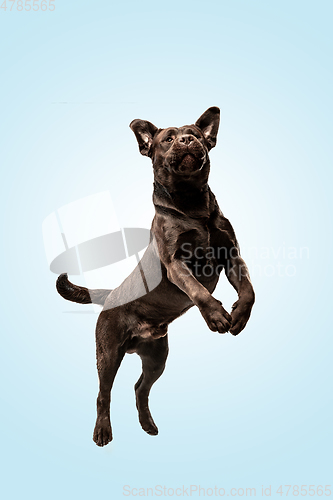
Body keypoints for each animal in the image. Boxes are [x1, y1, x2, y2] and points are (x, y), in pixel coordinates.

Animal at [57, 107, 254, 448]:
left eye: (196, 134)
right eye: (168, 139)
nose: (188, 139)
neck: (191, 205)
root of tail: (110, 294)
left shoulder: (232, 256)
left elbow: (250, 290)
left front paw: (239, 314)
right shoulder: (176, 264)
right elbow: (198, 290)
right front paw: (216, 315)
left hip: (156, 357)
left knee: (140, 389)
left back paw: (147, 424)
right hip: (108, 354)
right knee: (103, 394)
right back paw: (102, 431)